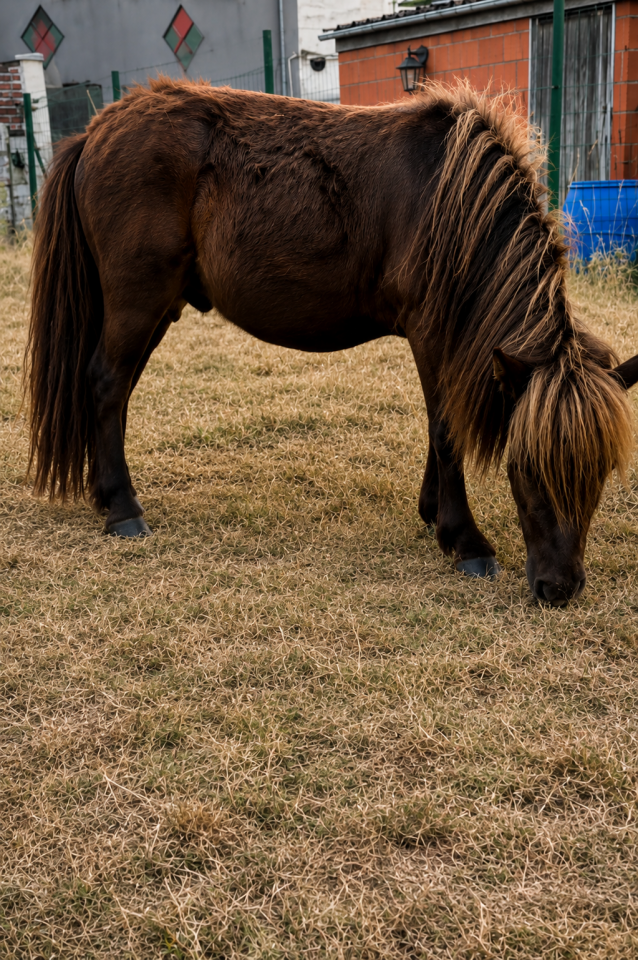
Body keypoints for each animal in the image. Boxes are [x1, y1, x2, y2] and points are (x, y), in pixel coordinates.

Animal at [26, 78, 638, 606]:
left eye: (600, 475)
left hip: (157, 308)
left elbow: (435, 428)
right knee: (106, 385)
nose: (560, 589)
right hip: (138, 300)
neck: (449, 198)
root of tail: (95, 132)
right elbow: (446, 430)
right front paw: (464, 540)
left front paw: (431, 512)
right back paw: (123, 509)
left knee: (117, 392)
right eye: (526, 469)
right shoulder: (430, 334)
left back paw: (107, 493)